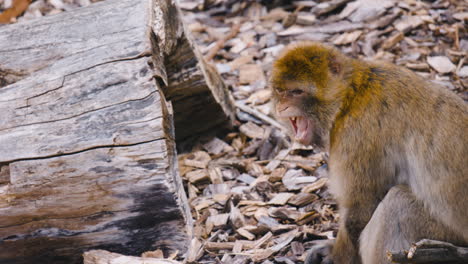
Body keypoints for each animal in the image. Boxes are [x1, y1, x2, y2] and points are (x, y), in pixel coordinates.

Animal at [270, 42, 468, 262]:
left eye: (297, 92)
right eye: (280, 91)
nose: (281, 107)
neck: (350, 95)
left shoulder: (354, 134)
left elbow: (360, 208)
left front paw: (336, 257)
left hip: (445, 234)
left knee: (397, 205)